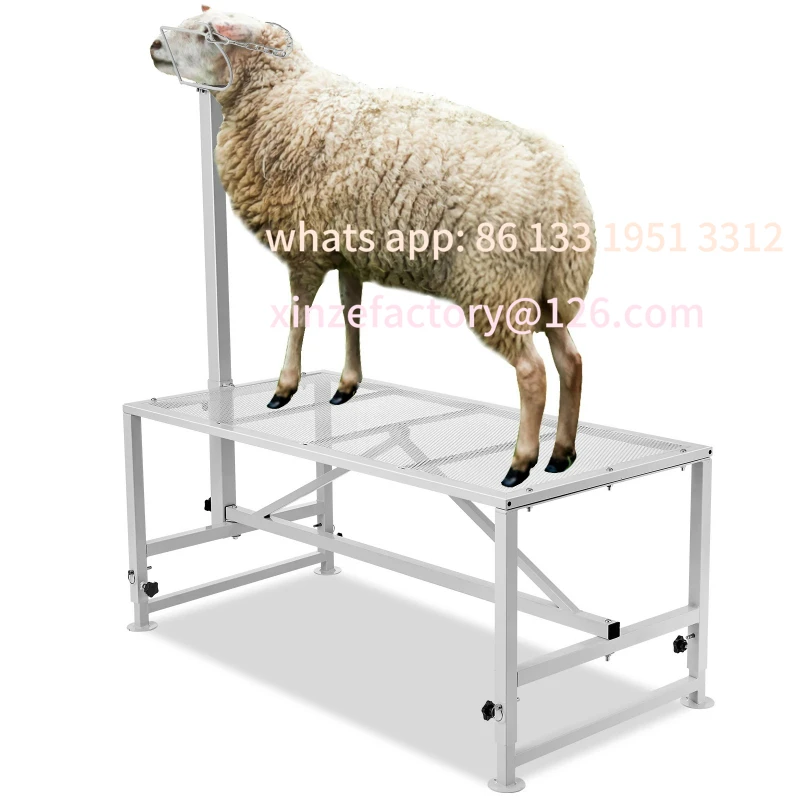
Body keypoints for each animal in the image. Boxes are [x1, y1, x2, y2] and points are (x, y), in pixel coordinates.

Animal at [151, 8, 596, 487]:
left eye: (209, 34)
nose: (154, 46)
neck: (284, 99)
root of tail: (561, 190)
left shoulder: (305, 246)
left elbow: (298, 317)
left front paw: (284, 386)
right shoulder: (348, 249)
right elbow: (352, 312)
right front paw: (347, 383)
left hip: (496, 284)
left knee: (533, 373)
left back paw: (521, 462)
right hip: (547, 288)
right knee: (571, 361)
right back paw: (562, 454)